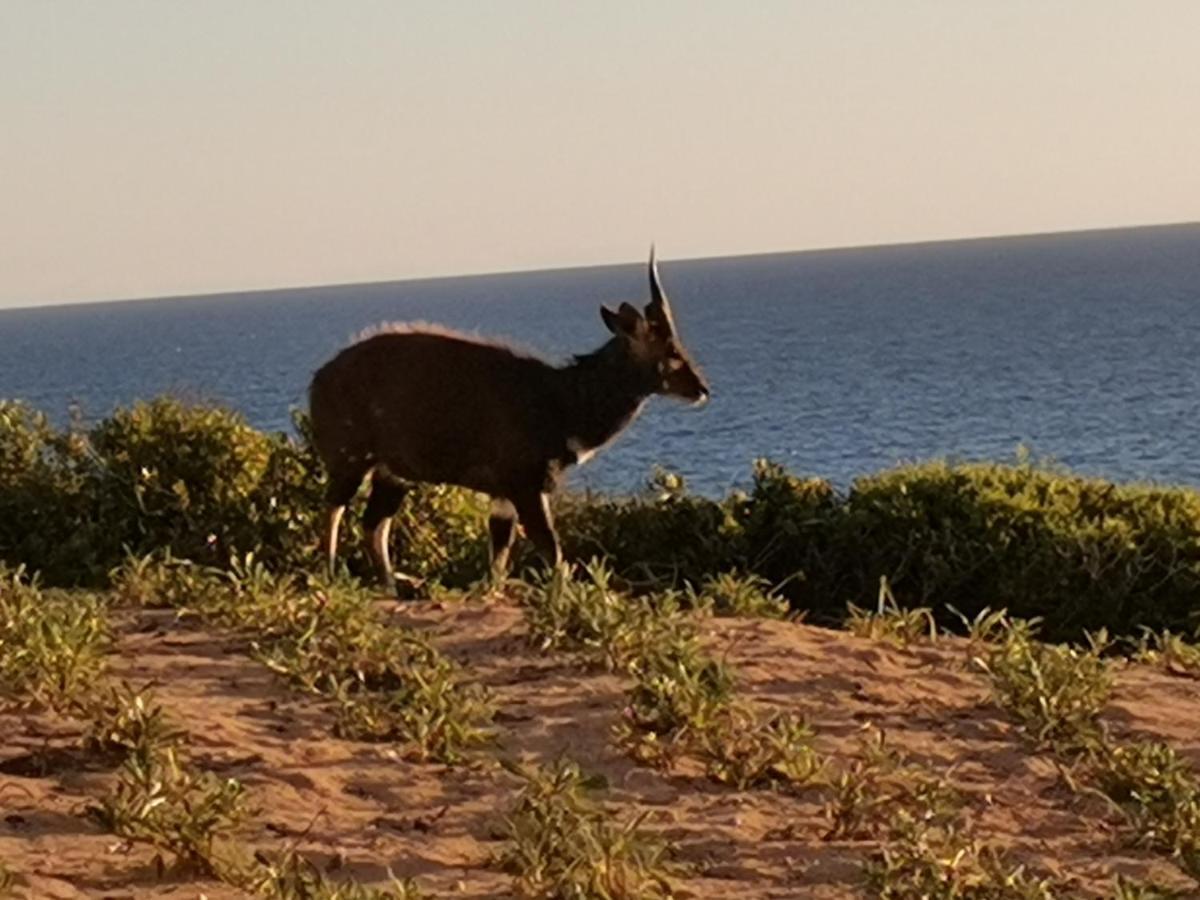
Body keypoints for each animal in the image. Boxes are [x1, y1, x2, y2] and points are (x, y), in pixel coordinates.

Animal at [304, 250, 705, 595]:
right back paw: (329, 578)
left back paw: (391, 588)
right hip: (350, 462)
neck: (561, 398)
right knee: (334, 510)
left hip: (393, 476)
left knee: (373, 523)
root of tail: (319, 379)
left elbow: (499, 558)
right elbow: (553, 552)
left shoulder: (504, 495)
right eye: (672, 352)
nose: (702, 389)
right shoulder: (525, 485)